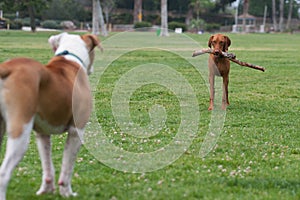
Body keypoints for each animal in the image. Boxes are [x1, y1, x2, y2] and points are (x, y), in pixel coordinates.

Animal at [0, 32, 101, 199]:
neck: (69, 57)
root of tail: (7, 68)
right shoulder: (76, 132)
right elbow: (67, 167)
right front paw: (66, 192)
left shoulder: (42, 134)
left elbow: (48, 166)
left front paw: (46, 190)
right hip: (20, 133)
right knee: (4, 174)